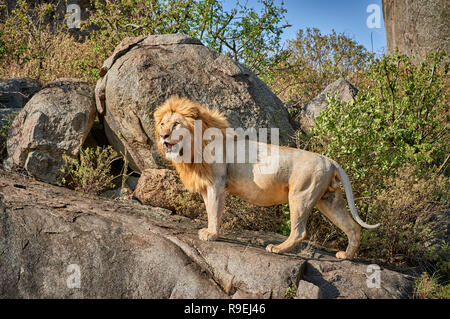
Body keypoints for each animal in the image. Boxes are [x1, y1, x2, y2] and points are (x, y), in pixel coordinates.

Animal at [153, 95, 378, 260]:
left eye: (176, 124)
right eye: (162, 124)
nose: (163, 136)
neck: (194, 147)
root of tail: (330, 161)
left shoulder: (217, 181)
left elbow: (215, 211)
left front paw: (212, 235)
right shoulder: (206, 184)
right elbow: (209, 209)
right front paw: (208, 231)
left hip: (301, 195)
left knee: (299, 231)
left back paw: (277, 248)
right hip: (328, 199)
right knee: (353, 227)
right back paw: (345, 256)